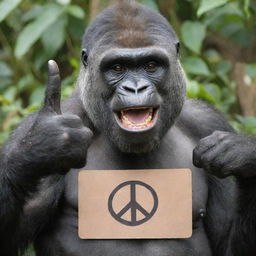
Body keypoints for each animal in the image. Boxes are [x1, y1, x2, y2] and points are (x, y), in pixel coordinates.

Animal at [0, 0, 256, 256]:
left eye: (151, 65)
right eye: (118, 68)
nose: (136, 88)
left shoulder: (208, 123)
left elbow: (228, 245)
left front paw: (242, 154)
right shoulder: (30, 129)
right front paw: (46, 143)